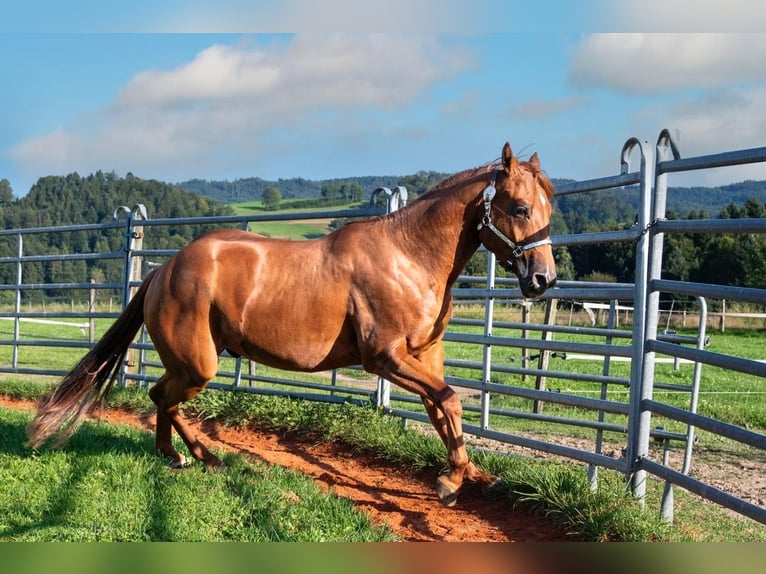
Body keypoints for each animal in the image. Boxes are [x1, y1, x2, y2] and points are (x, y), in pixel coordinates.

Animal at [27, 144, 560, 508]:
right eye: (519, 208)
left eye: (548, 207)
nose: (543, 279)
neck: (408, 256)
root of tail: (163, 269)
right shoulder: (384, 358)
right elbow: (448, 402)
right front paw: (451, 482)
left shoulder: (425, 355)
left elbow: (443, 409)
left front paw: (466, 475)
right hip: (198, 365)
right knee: (163, 397)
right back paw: (203, 457)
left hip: (191, 362)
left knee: (161, 396)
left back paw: (175, 456)